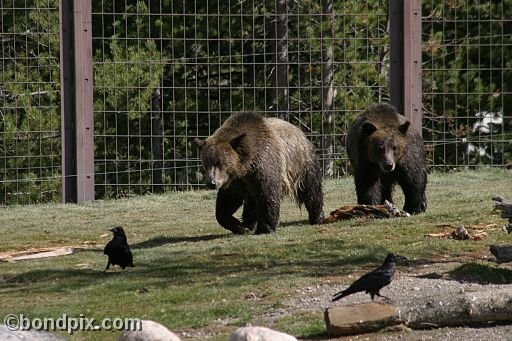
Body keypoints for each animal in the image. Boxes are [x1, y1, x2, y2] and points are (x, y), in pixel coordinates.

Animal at [194, 112, 322, 234]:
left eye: (219, 163)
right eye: (206, 163)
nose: (211, 183)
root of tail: (299, 131)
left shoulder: (264, 166)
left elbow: (268, 194)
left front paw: (266, 227)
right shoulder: (235, 180)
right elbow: (227, 202)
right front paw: (239, 227)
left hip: (301, 162)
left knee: (311, 188)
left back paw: (317, 217)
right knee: (251, 201)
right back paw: (248, 224)